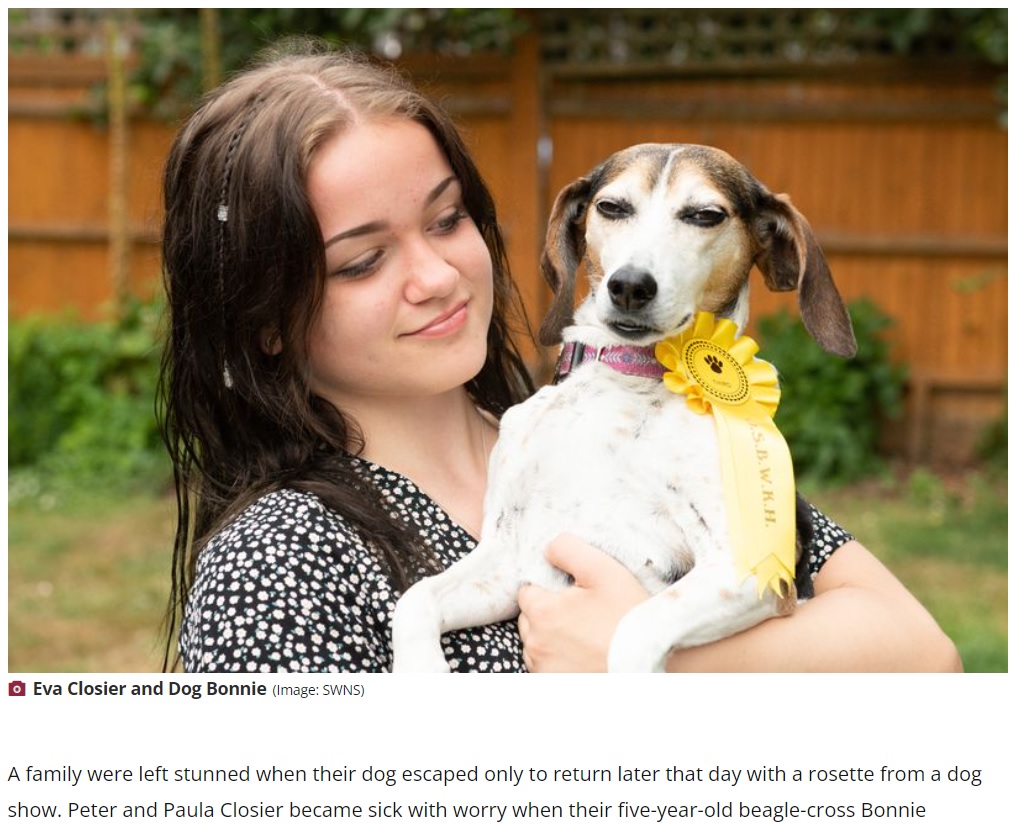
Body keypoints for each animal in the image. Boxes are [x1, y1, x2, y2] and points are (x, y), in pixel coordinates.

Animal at [391, 143, 852, 669]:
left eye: (706, 215)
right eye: (611, 207)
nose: (630, 285)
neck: (625, 382)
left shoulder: (752, 569)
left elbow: (634, 627)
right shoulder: (511, 555)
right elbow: (416, 599)